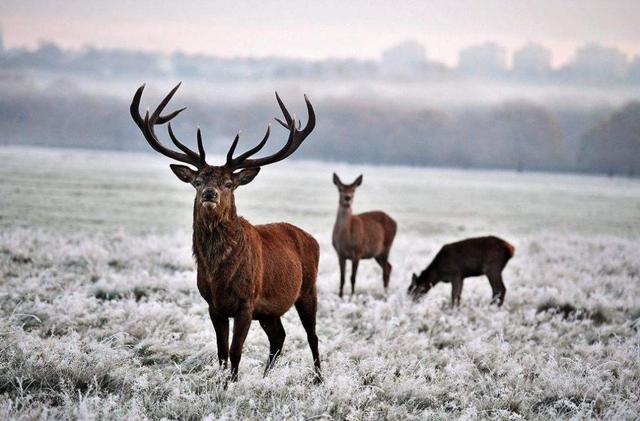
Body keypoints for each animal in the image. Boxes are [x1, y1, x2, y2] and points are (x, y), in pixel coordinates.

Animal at [131, 83, 322, 382]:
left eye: (230, 183)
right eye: (198, 181)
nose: (210, 193)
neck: (219, 272)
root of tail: (312, 239)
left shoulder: (246, 302)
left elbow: (235, 352)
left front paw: (230, 385)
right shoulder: (213, 304)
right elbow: (221, 352)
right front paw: (220, 383)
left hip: (307, 289)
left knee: (312, 336)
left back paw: (318, 378)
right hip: (269, 311)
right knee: (278, 337)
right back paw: (265, 377)